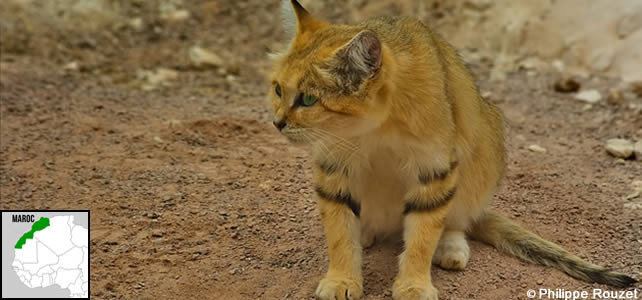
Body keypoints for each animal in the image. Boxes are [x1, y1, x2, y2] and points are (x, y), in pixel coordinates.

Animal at [264, 1, 636, 298]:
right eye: (278, 89)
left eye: (308, 99)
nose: (277, 122)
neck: (374, 130)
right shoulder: (333, 166)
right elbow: (340, 232)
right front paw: (342, 280)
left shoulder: (436, 168)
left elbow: (423, 234)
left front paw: (414, 285)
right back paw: (367, 232)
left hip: (486, 147)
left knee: (457, 220)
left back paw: (450, 247)